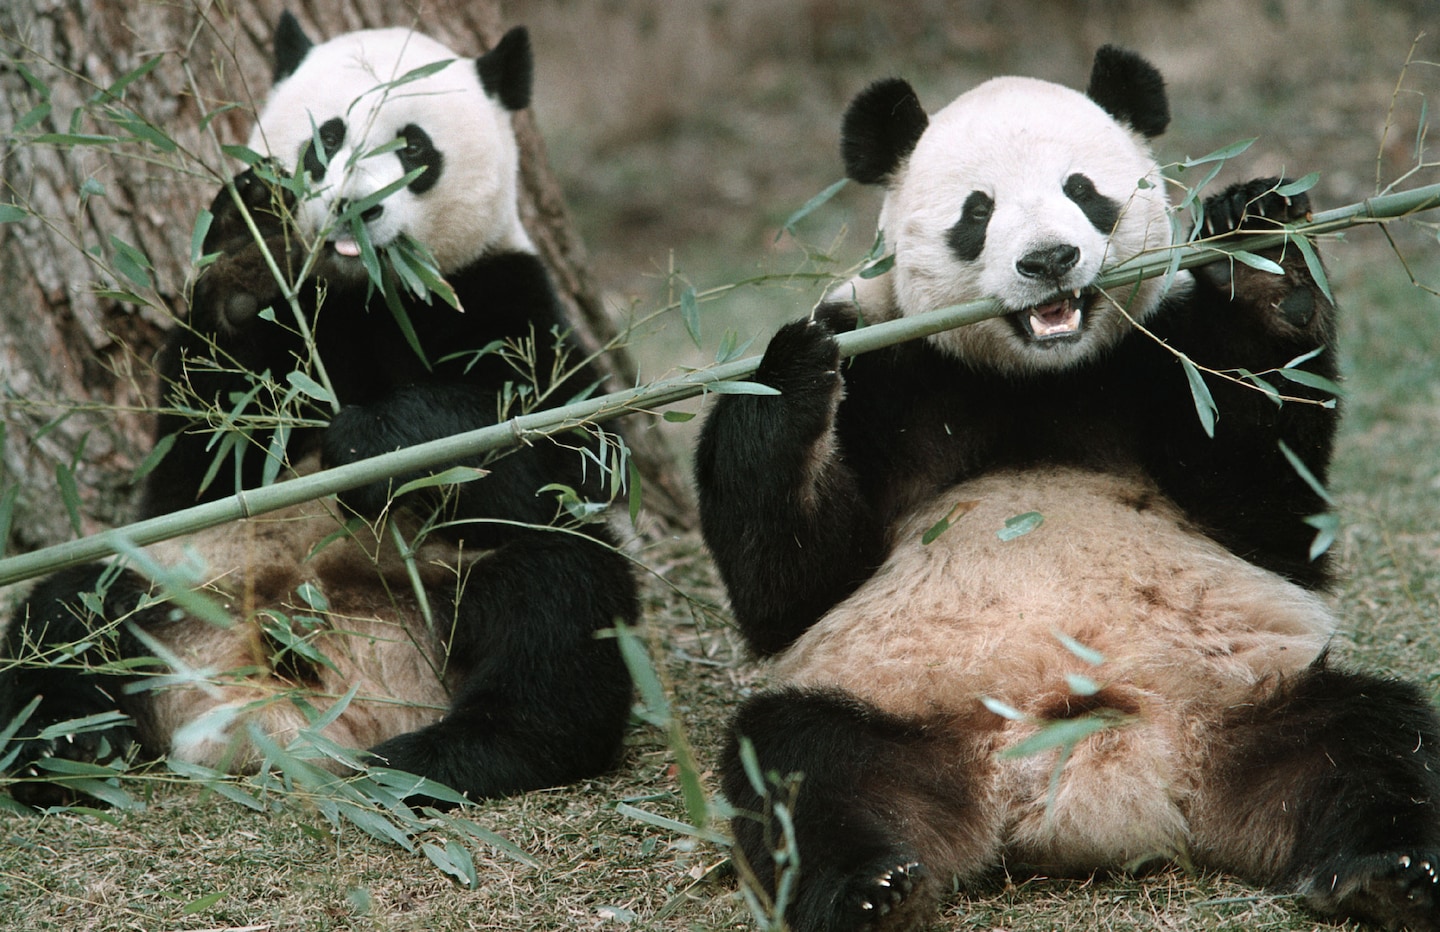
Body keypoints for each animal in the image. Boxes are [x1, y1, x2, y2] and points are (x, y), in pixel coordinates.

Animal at [0, 13, 637, 808]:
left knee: (560, 605)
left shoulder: (503, 294)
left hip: (456, 578)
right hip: (174, 572)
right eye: (326, 139)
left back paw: (440, 757)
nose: (356, 208)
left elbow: (571, 443)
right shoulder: (241, 399)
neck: (368, 292)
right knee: (64, 619)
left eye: (413, 148)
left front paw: (374, 442)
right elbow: (202, 453)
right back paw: (67, 747)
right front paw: (247, 247)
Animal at [695, 47, 1440, 932]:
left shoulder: (1159, 357)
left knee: (1376, 738)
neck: (1036, 376)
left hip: (1259, 698)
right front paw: (789, 372)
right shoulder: (887, 370)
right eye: (977, 212)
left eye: (1084, 191)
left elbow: (1272, 512)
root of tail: (1104, 782)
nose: (1048, 260)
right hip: (890, 711)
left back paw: (1386, 873)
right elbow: (788, 584)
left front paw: (1262, 252)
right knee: (800, 769)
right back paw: (870, 890)